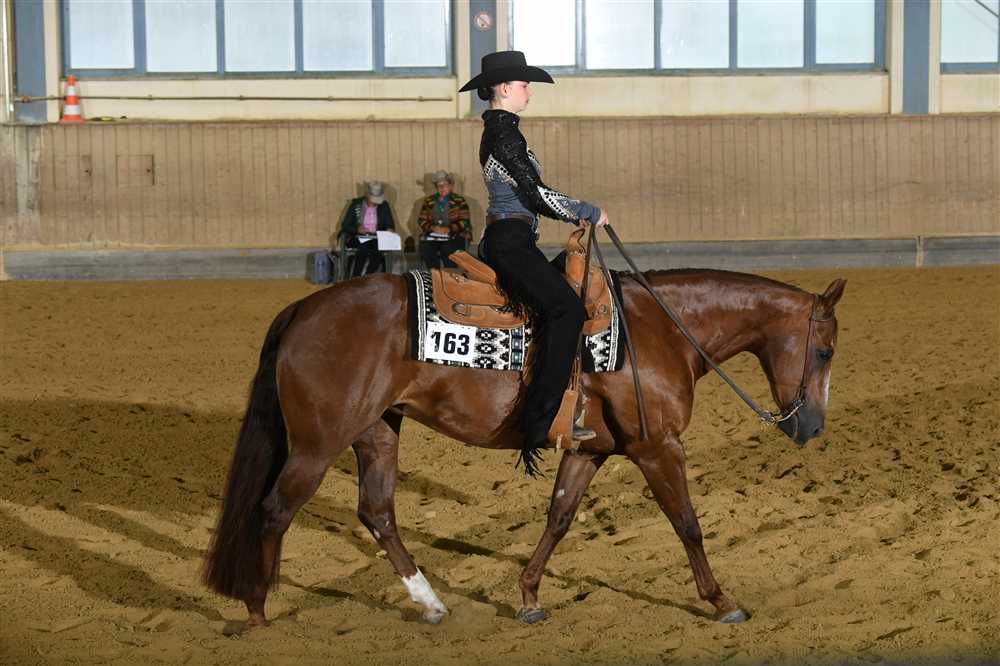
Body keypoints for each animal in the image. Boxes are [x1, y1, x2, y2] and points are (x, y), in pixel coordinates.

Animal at [201, 267, 846, 630]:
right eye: (825, 351)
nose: (812, 428)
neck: (658, 329)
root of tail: (302, 310)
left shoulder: (589, 451)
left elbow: (559, 517)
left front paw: (530, 597)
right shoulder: (657, 447)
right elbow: (687, 522)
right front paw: (721, 601)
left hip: (377, 430)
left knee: (377, 513)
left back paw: (430, 604)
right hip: (318, 443)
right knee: (275, 509)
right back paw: (257, 610)